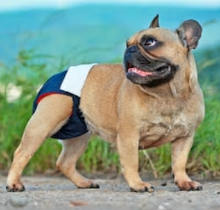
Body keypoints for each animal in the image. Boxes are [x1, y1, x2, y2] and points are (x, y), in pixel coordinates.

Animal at [6, 14, 204, 192]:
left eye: (150, 42)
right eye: (127, 44)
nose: (129, 50)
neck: (167, 94)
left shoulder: (184, 138)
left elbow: (179, 162)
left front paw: (184, 182)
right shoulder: (129, 136)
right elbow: (132, 163)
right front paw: (138, 185)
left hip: (79, 136)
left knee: (65, 162)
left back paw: (84, 183)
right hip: (44, 123)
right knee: (21, 153)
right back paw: (14, 184)